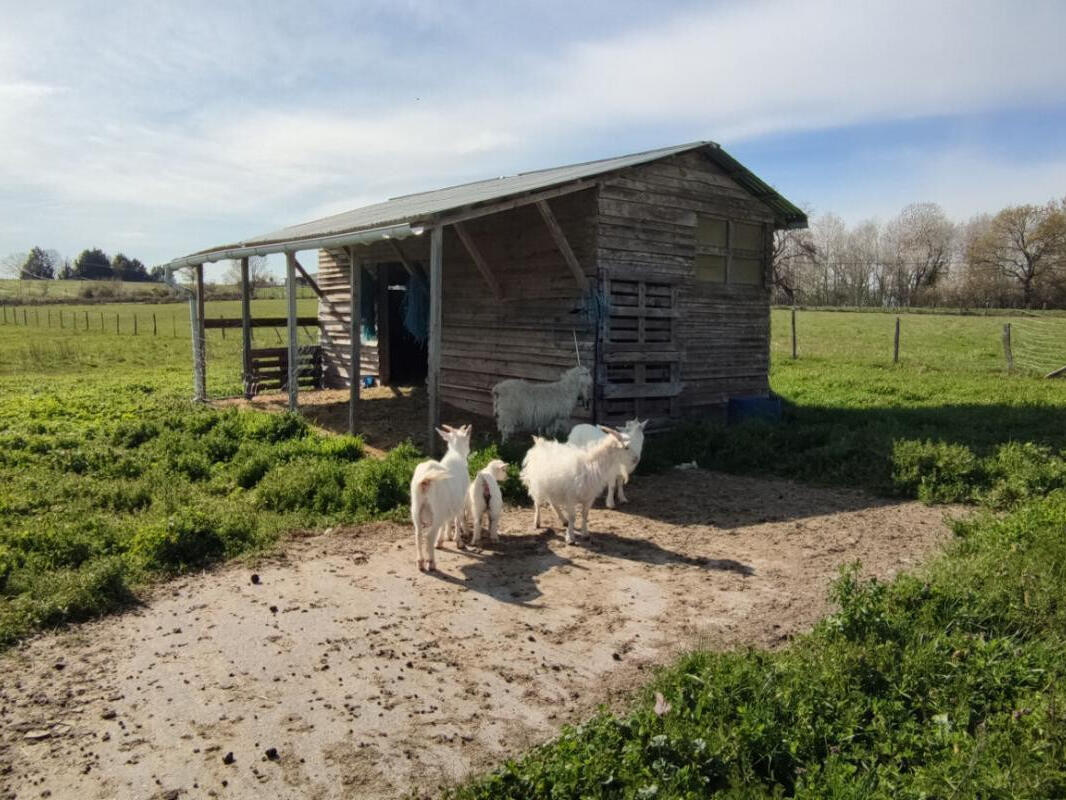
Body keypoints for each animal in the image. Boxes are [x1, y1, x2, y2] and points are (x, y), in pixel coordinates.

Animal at [407, 422, 471, 571]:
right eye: (467, 439)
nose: (469, 450)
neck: (455, 455)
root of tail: (425, 480)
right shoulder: (460, 500)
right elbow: (458, 519)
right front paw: (459, 542)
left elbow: (446, 522)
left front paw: (441, 541)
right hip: (436, 510)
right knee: (429, 536)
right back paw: (431, 563)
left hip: (416, 508)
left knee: (418, 534)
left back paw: (420, 562)